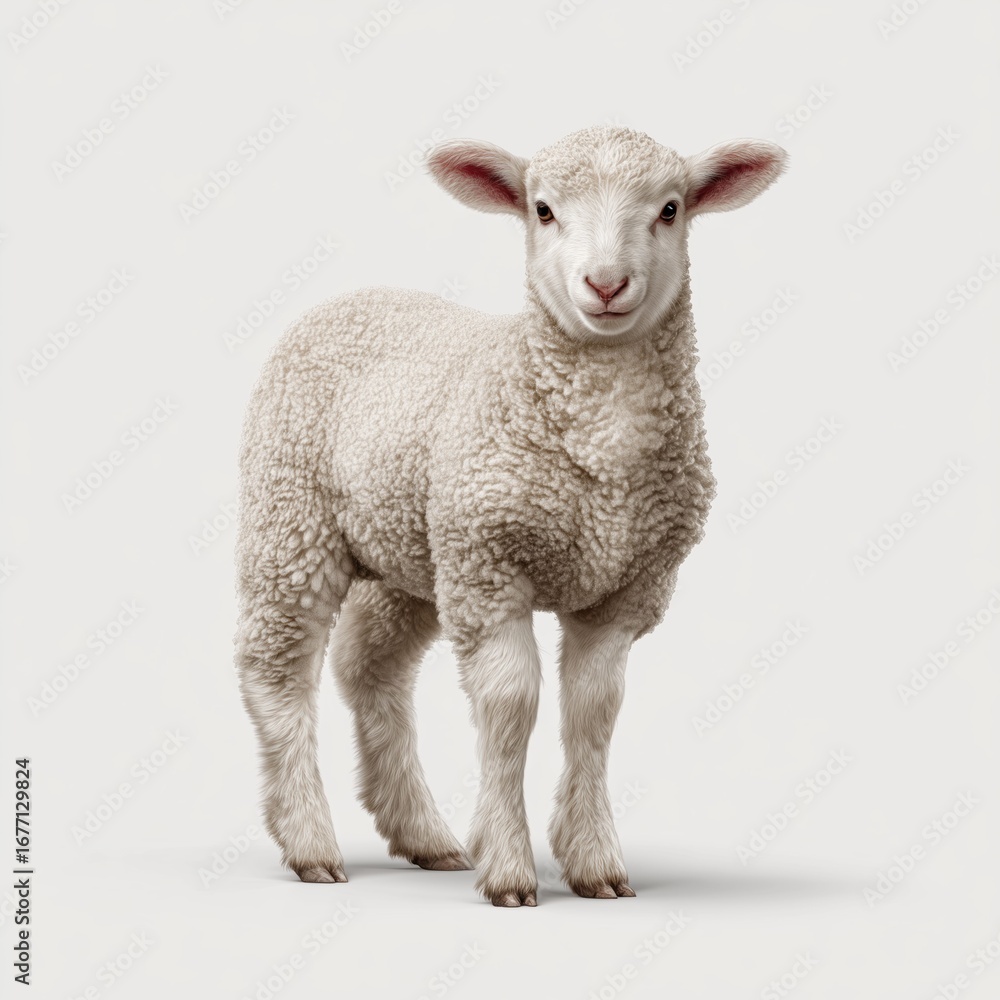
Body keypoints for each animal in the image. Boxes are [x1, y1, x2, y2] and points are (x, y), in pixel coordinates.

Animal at [235, 125, 787, 906]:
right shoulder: (491, 566)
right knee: (277, 669)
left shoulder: (625, 590)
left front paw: (594, 862)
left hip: (414, 550)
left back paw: (421, 833)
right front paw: (507, 868)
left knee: (369, 667)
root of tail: (358, 294)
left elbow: (593, 711)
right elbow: (510, 705)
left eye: (671, 209)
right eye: (543, 210)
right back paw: (309, 841)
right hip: (293, 517)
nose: (606, 285)